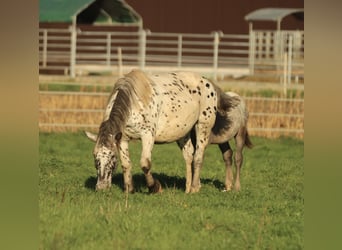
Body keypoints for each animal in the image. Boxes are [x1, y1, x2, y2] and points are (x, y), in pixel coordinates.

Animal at [86, 69, 219, 194]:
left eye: (112, 156)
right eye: (95, 156)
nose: (101, 187)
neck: (134, 103)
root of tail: (207, 82)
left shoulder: (147, 135)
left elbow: (145, 164)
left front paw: (154, 187)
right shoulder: (122, 139)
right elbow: (126, 164)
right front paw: (129, 189)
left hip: (202, 127)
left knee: (198, 157)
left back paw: (195, 188)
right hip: (183, 133)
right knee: (189, 156)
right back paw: (188, 188)